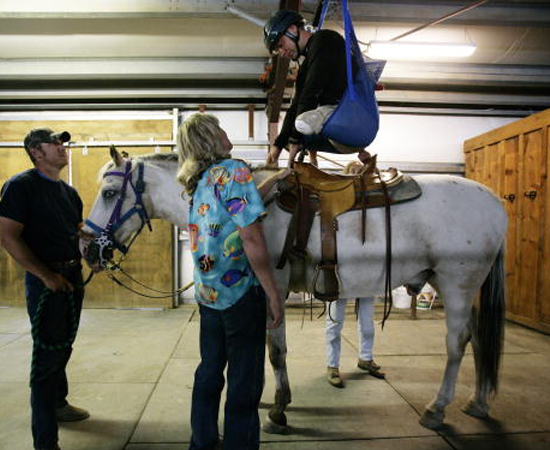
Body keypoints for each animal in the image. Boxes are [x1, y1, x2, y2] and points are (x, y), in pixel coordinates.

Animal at [81, 149, 508, 434]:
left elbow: (275, 350)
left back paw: (437, 409)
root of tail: (495, 202)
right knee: (478, 338)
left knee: (457, 343)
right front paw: (265, 398)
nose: (86, 248)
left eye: (108, 193)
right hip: (456, 285)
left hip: (456, 282)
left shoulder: (275, 288)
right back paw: (478, 402)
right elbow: (263, 348)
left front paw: (278, 409)